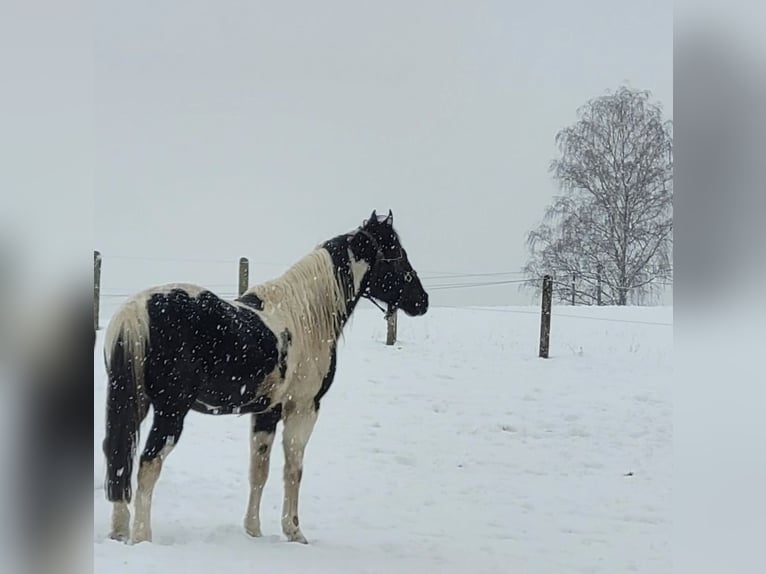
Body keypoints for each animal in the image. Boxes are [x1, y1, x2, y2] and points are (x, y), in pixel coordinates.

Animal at [100, 214, 432, 548]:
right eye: (397, 253)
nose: (423, 301)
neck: (305, 316)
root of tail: (136, 310)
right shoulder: (303, 409)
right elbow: (293, 470)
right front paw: (294, 532)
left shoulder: (266, 412)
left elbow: (259, 471)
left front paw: (253, 531)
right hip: (170, 411)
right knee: (148, 463)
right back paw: (142, 537)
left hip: (134, 403)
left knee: (117, 457)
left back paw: (119, 532)